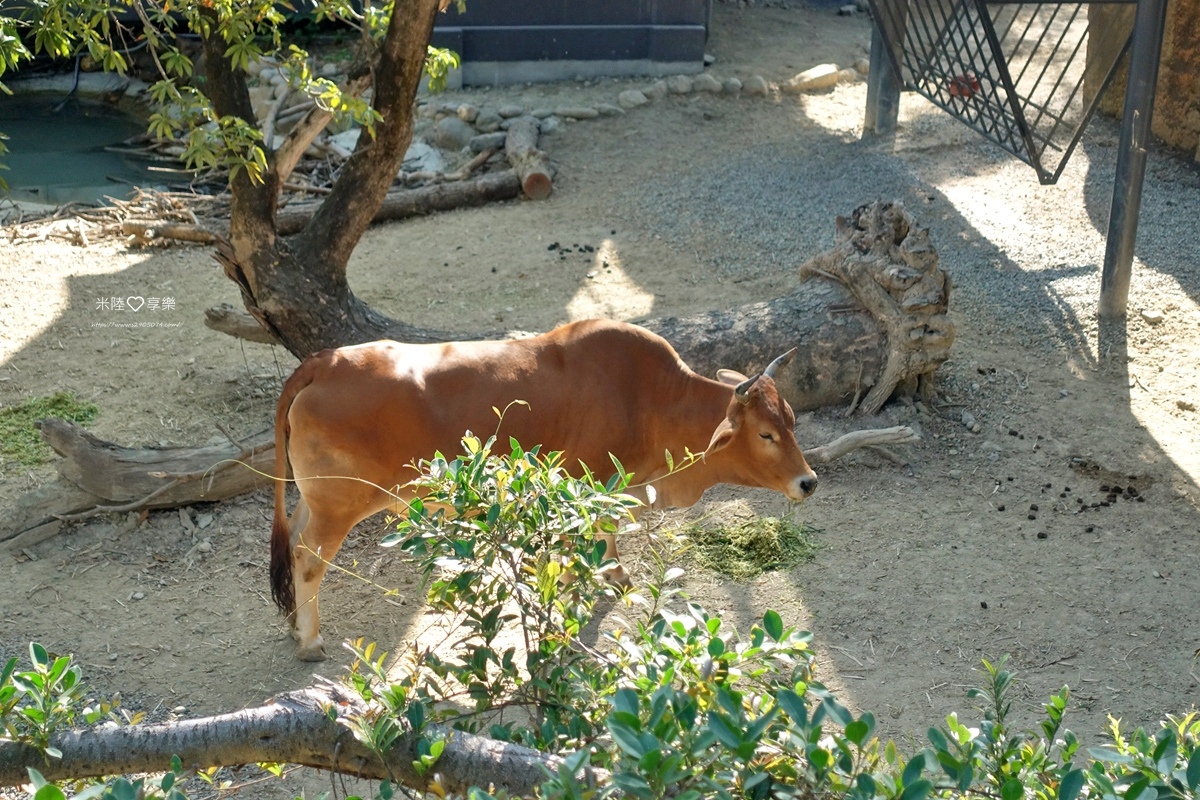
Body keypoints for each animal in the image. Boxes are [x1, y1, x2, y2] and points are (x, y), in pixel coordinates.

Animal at [272, 319, 816, 662]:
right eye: (765, 434)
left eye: (790, 419)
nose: (808, 482)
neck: (652, 398)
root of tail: (322, 362)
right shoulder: (589, 478)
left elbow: (607, 528)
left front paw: (614, 574)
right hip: (339, 505)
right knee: (307, 559)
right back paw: (311, 641)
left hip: (311, 500)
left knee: (291, 542)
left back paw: (295, 626)